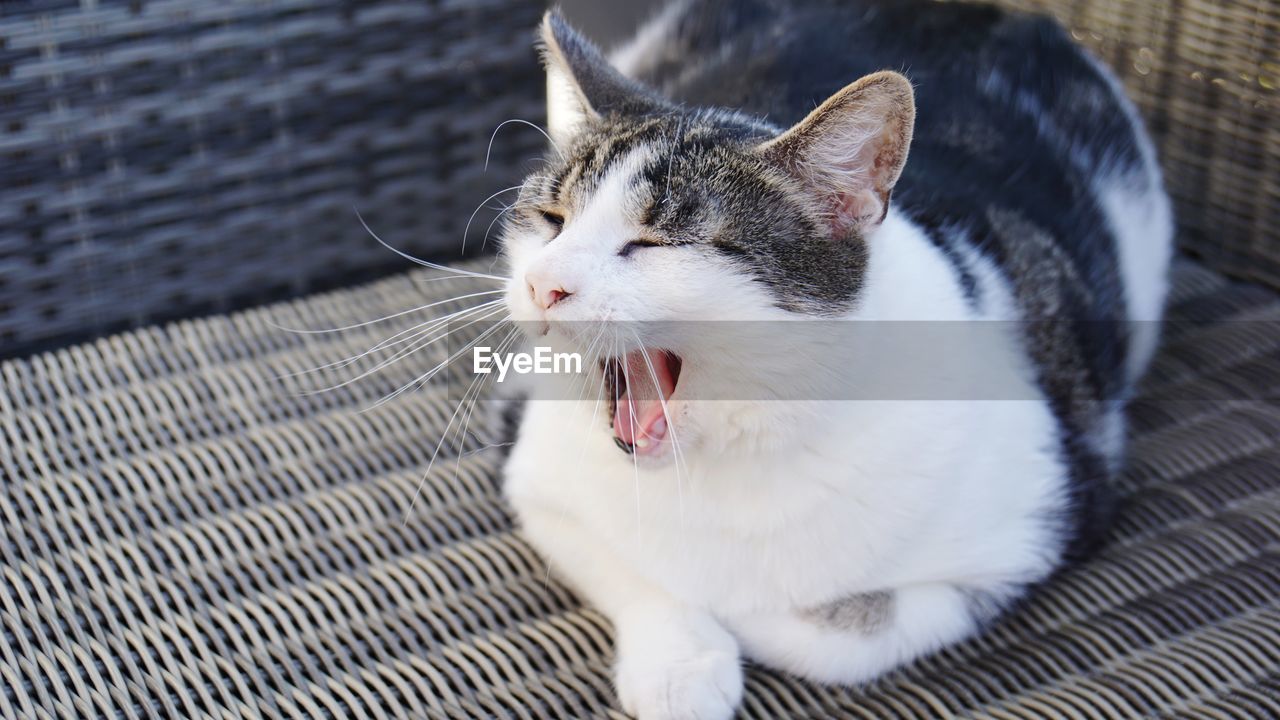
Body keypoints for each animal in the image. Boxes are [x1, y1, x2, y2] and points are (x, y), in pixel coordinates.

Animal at [494, 2, 1172, 712]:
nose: (543, 284)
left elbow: (840, 637)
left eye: (655, 243)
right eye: (552, 219)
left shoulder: (1037, 527)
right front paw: (679, 665)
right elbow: (629, 567)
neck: (725, 463)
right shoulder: (534, 473)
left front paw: (741, 617)